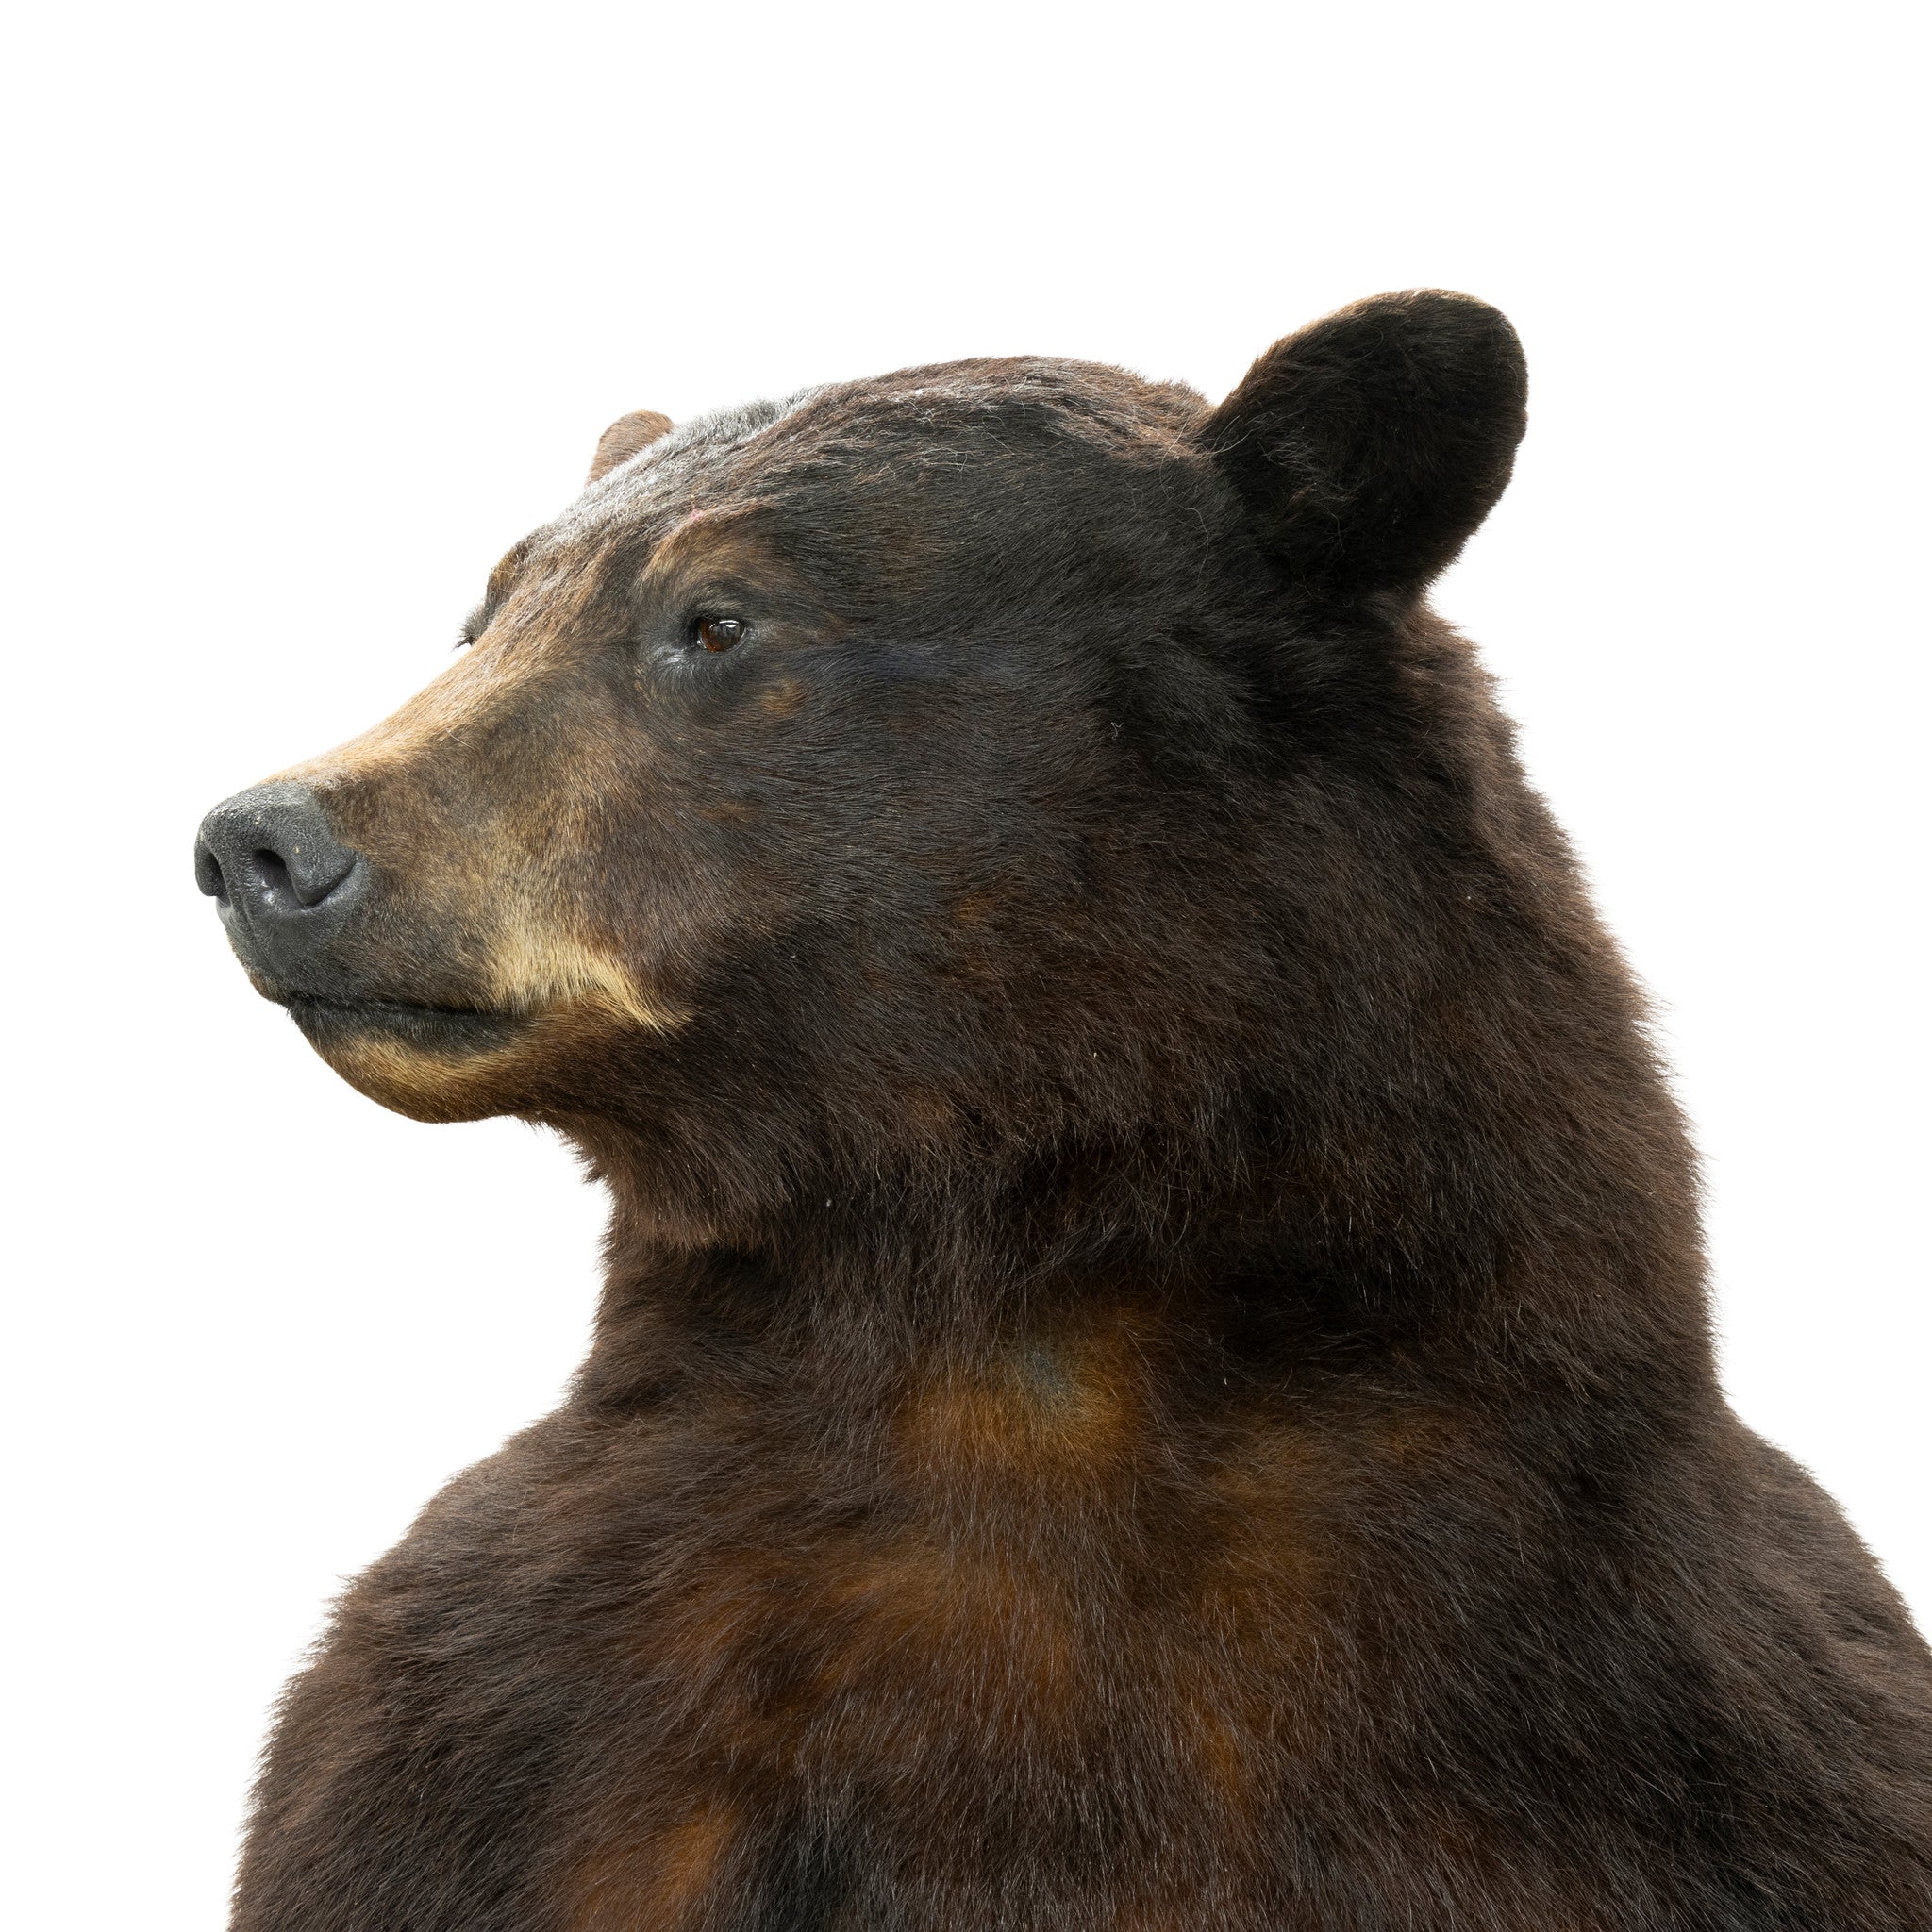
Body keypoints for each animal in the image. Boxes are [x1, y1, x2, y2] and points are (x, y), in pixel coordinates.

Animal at [195, 291, 1932, 1930]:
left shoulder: (1690, 1734)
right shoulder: (498, 1746)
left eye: (715, 618)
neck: (1013, 1330)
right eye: (487, 610)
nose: (263, 838)